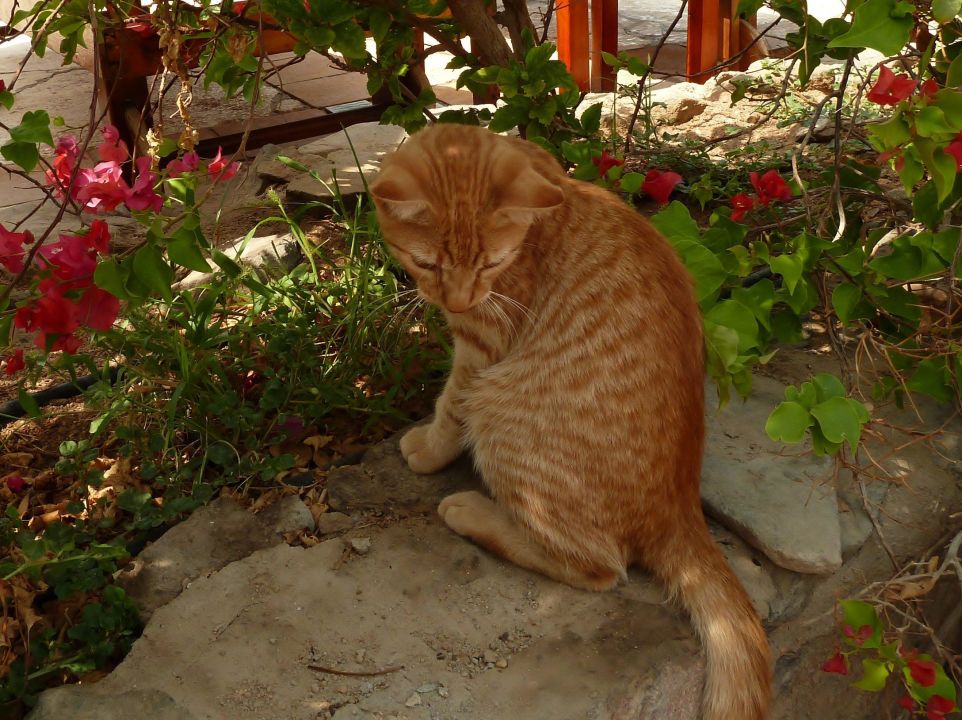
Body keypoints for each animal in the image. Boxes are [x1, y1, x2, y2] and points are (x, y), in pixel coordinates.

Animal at [370, 125, 772, 720]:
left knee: (599, 568)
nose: (458, 300)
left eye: (489, 266)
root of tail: (680, 506)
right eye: (429, 264)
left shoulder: (482, 346)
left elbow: (451, 403)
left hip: (503, 416)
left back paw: (474, 512)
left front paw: (429, 447)